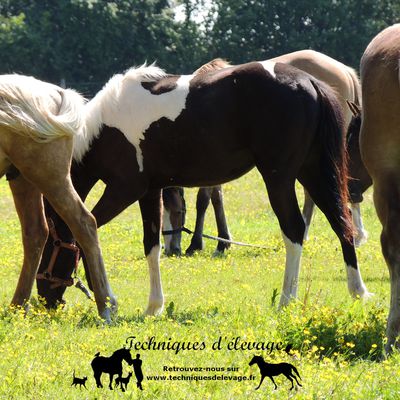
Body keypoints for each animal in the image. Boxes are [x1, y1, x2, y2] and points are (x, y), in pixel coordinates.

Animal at [0, 74, 114, 318]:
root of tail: (55, 93)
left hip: (49, 177)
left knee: (84, 224)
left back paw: (106, 306)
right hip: (24, 180)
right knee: (36, 233)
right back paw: (18, 306)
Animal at [162, 50, 368, 256]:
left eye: (179, 212)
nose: (170, 249)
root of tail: (344, 71)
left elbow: (203, 200)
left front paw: (197, 244)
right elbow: (217, 199)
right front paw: (223, 242)